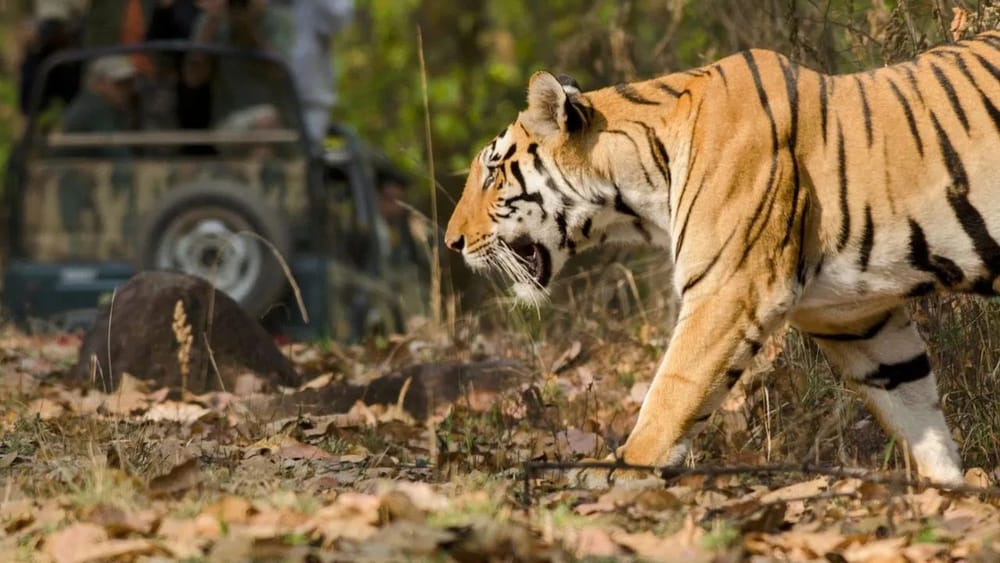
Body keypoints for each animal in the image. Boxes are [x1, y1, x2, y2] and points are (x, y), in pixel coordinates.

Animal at [443, 31, 1000, 486]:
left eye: (492, 173)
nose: (452, 242)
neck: (639, 187)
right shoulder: (855, 316)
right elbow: (913, 406)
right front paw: (947, 494)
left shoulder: (726, 292)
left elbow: (671, 395)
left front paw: (618, 479)